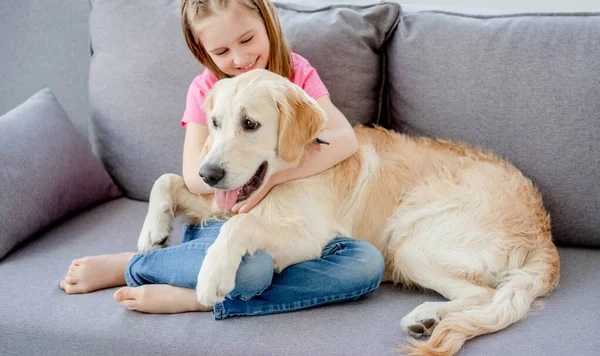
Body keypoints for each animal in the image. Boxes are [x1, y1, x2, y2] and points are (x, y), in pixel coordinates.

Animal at [138, 69, 560, 354]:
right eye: (214, 122)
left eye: (251, 124)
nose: (208, 173)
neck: (292, 170)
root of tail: (544, 230)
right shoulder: (225, 199)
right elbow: (167, 179)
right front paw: (151, 232)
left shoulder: (308, 235)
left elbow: (238, 227)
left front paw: (212, 273)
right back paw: (428, 319)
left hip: (411, 243)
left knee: (484, 292)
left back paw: (427, 314)